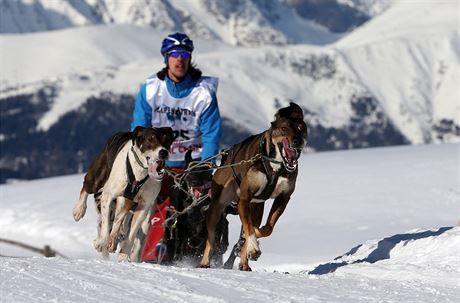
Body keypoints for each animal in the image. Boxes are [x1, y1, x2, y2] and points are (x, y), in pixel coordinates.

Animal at [73, 126, 174, 262]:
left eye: (166, 140)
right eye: (150, 139)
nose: (163, 152)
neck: (139, 174)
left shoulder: (143, 207)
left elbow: (131, 233)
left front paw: (123, 254)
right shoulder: (108, 196)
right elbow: (105, 230)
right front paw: (100, 243)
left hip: (132, 208)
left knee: (120, 222)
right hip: (96, 180)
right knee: (86, 187)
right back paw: (79, 209)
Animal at [199, 103, 308, 272]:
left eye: (301, 128)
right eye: (284, 128)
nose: (297, 141)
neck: (274, 166)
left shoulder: (283, 198)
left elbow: (266, 229)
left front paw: (252, 244)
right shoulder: (245, 198)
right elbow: (249, 228)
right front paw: (253, 246)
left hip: (257, 207)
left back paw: (244, 262)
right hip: (217, 207)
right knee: (210, 236)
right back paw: (205, 261)